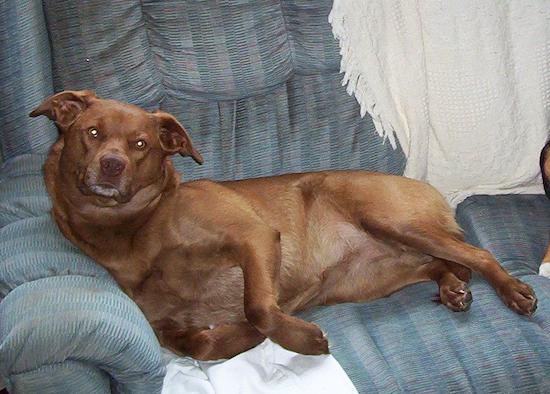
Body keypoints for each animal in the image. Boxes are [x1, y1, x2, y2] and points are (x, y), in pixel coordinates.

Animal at [31, 90, 540, 360]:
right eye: (92, 133)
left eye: (140, 144)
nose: (112, 165)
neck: (137, 229)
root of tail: (425, 186)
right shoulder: (166, 328)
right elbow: (203, 347)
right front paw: (237, 337)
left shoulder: (253, 237)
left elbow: (258, 307)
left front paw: (297, 336)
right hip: (366, 278)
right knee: (438, 264)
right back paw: (453, 288)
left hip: (388, 220)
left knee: (475, 253)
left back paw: (512, 290)